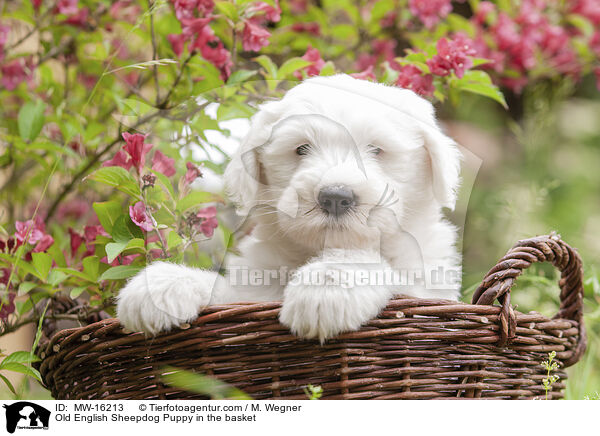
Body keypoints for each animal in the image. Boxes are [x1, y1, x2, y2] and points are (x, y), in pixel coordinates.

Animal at [117, 74, 464, 340]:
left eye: (377, 150)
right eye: (301, 149)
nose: (335, 196)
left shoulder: (426, 289)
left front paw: (325, 286)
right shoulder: (254, 294)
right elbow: (226, 292)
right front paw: (163, 284)